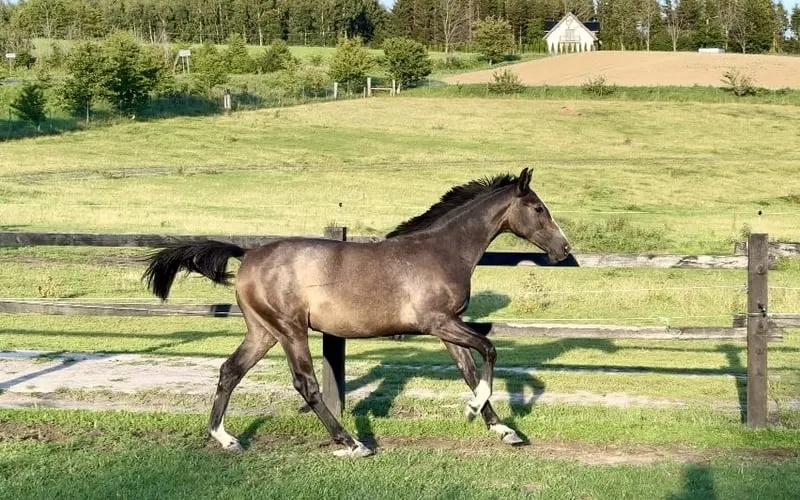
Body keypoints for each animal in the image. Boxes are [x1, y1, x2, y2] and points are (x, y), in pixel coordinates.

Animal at [142, 168, 571, 458]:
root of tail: (247, 254)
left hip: (263, 331)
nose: (564, 249)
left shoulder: (445, 327)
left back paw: (226, 437)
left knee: (230, 371)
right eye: (538, 208)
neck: (440, 251)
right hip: (290, 329)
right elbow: (489, 350)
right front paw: (477, 410)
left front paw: (504, 430)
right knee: (306, 385)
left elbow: (468, 368)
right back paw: (352, 443)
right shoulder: (439, 322)